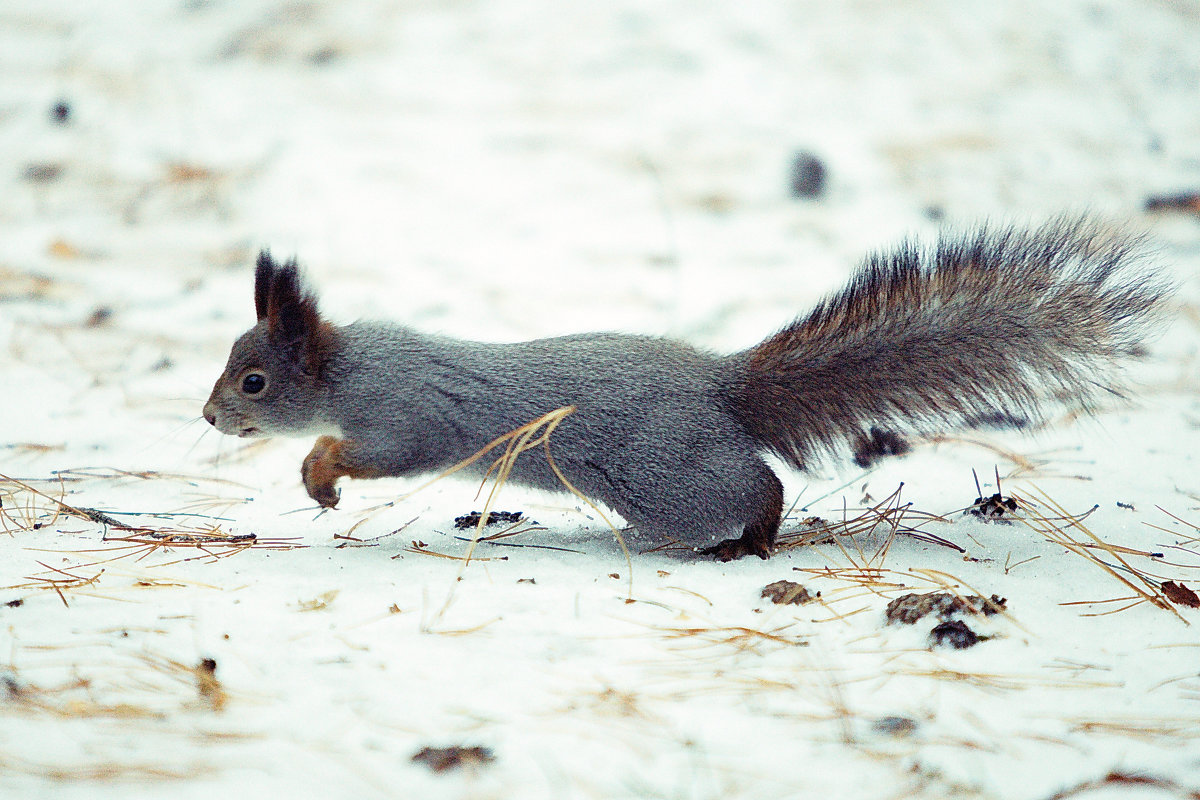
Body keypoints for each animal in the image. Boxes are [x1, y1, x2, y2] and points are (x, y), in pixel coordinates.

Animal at [201, 215, 1166, 561]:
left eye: (254, 379)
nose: (208, 415)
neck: (344, 369)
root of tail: (722, 388)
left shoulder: (406, 412)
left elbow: (387, 452)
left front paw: (320, 470)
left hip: (664, 477)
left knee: (755, 487)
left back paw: (753, 539)